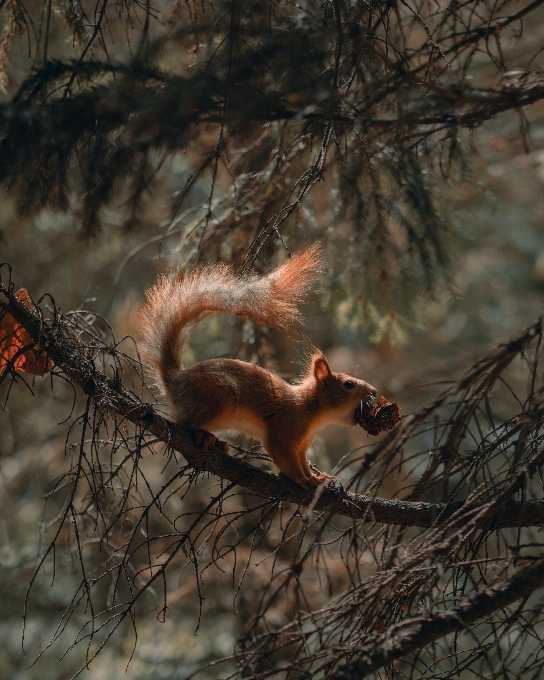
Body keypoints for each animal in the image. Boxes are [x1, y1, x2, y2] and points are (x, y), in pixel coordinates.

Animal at [140, 244, 376, 488]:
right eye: (348, 384)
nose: (375, 392)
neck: (311, 409)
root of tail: (175, 381)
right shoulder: (282, 431)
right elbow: (284, 458)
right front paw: (305, 481)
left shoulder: (301, 446)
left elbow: (302, 462)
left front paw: (316, 477)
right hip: (216, 395)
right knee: (181, 422)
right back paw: (204, 436)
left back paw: (218, 443)